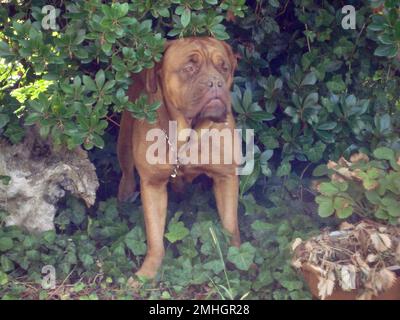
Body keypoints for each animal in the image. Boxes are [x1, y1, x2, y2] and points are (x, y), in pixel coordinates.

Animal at [117, 37, 239, 278]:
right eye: (189, 68)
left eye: (224, 68)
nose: (215, 83)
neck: (186, 133)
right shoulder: (152, 184)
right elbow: (155, 238)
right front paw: (147, 274)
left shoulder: (226, 177)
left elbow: (231, 225)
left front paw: (238, 260)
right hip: (124, 147)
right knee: (126, 175)